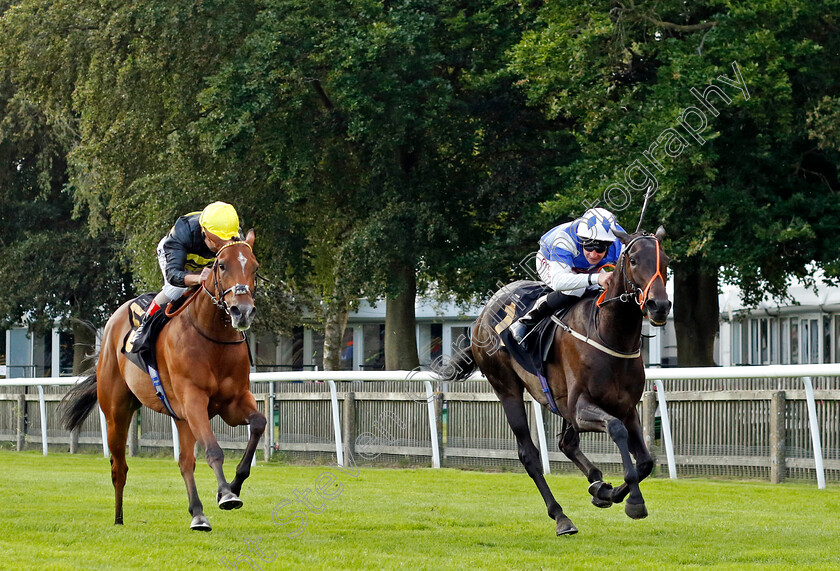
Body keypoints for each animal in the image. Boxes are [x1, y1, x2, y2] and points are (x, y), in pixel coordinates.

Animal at [60, 229, 264, 532]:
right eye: (221, 265)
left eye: (254, 267)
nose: (243, 310)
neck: (212, 336)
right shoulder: (193, 400)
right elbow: (213, 450)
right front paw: (226, 494)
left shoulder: (233, 402)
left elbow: (259, 424)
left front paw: (233, 486)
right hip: (117, 412)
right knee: (119, 467)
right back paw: (119, 519)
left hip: (180, 418)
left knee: (185, 462)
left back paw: (197, 514)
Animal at [450, 227, 672, 536]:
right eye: (634, 260)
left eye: (666, 261)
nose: (659, 305)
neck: (608, 333)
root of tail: (483, 315)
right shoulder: (581, 408)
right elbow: (616, 430)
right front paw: (634, 501)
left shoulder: (627, 408)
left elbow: (646, 461)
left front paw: (608, 492)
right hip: (506, 387)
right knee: (529, 454)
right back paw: (561, 517)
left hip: (560, 401)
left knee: (567, 444)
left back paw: (597, 484)